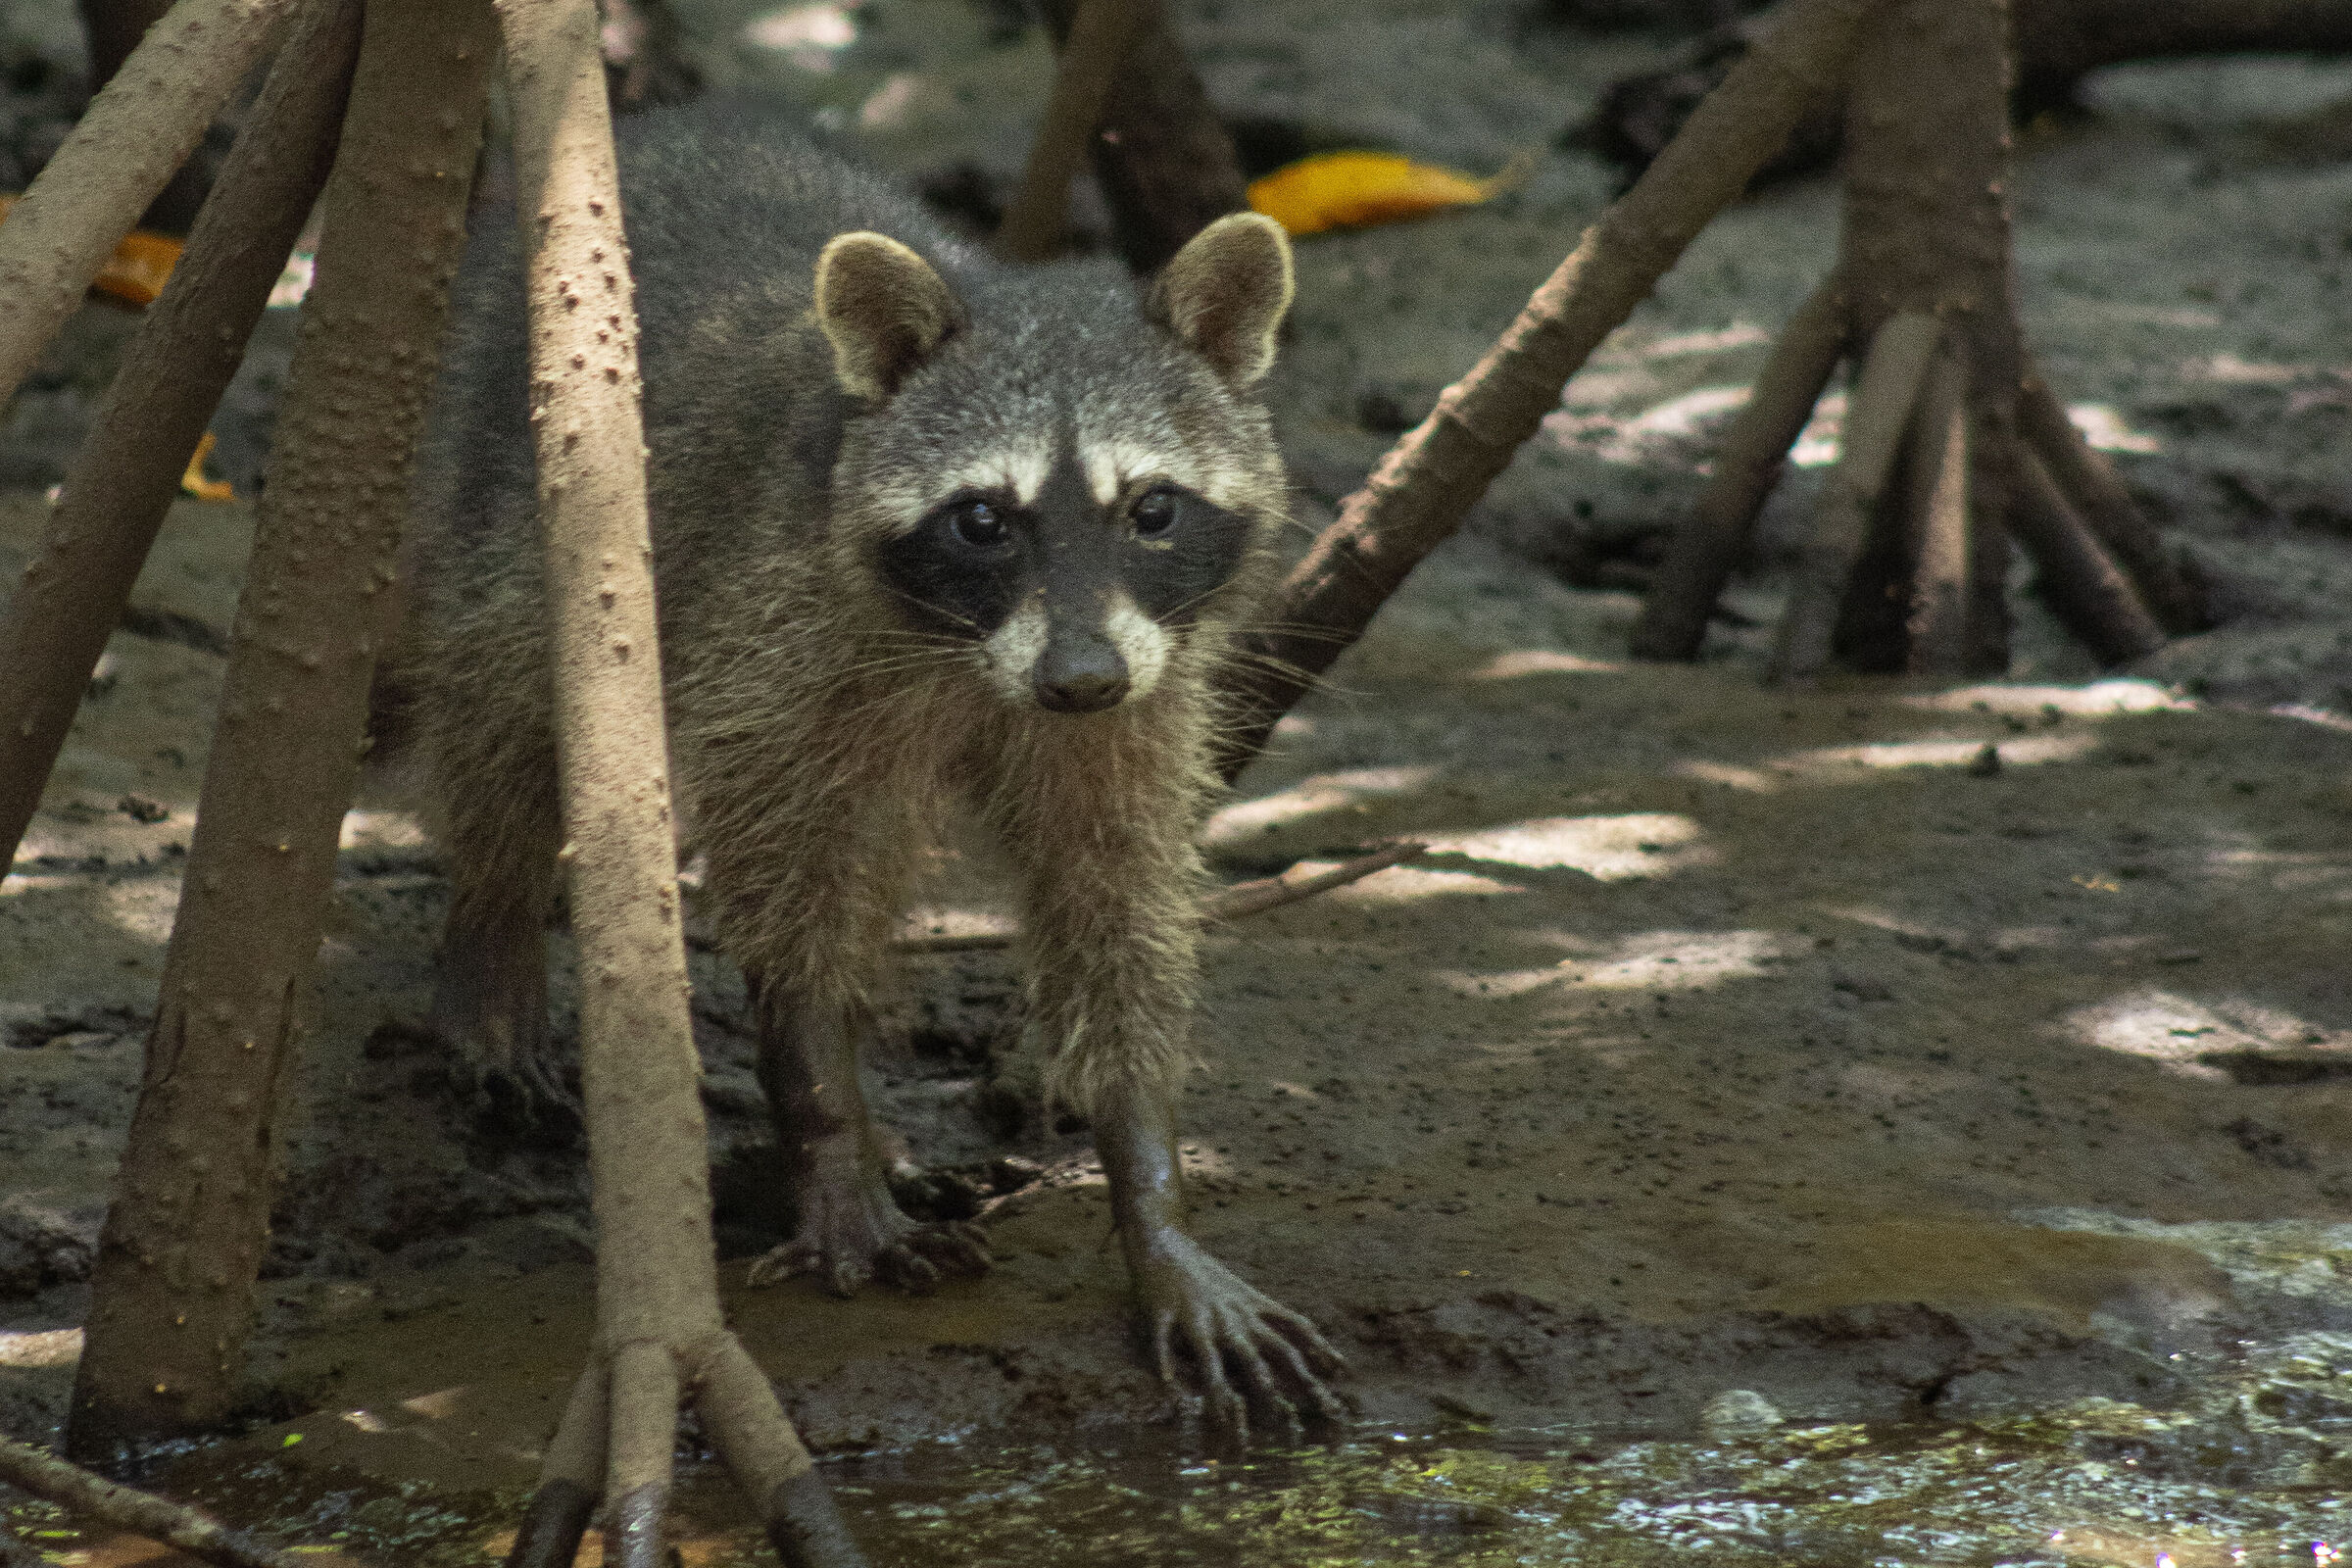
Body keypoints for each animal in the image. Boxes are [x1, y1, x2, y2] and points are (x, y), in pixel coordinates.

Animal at [392, 106, 1340, 1425]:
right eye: (984, 518)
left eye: (1151, 508)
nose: (1079, 680)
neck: (977, 659)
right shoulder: (777, 636)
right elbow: (784, 891)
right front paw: (825, 1120)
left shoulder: (1139, 687)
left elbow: (1114, 897)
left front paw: (1147, 1182)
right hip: (523, 500)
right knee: (504, 704)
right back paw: (493, 937)